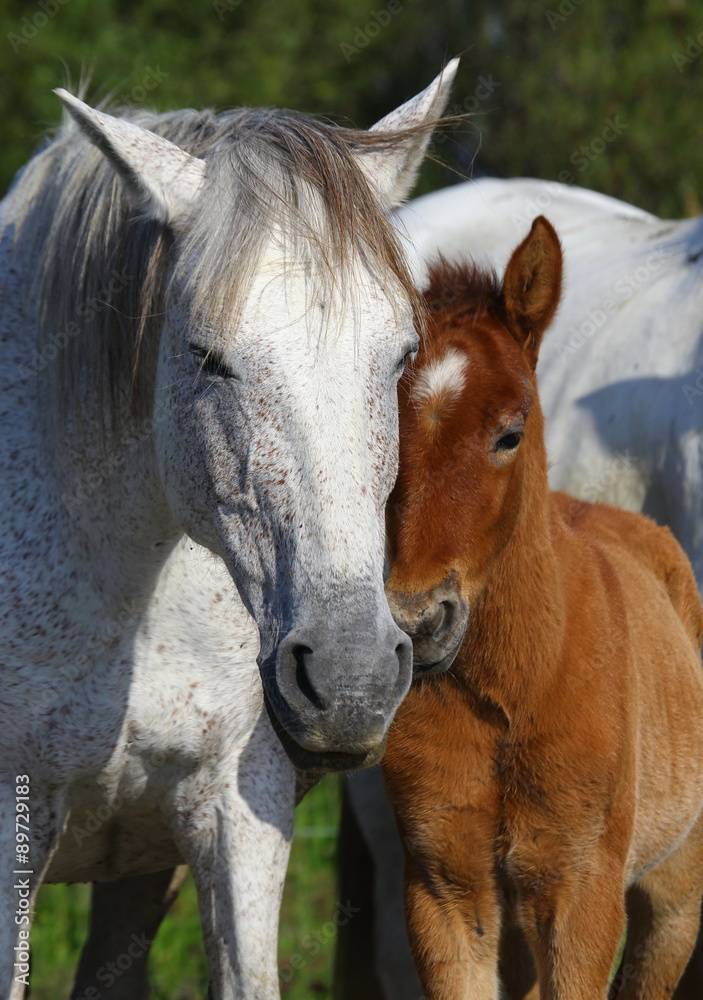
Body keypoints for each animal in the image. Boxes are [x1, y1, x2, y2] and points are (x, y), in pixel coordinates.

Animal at [339, 176, 703, 1000]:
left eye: (509, 432)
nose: (418, 619)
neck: (514, 689)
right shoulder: (447, 898)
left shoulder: (580, 900)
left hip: (670, 905)